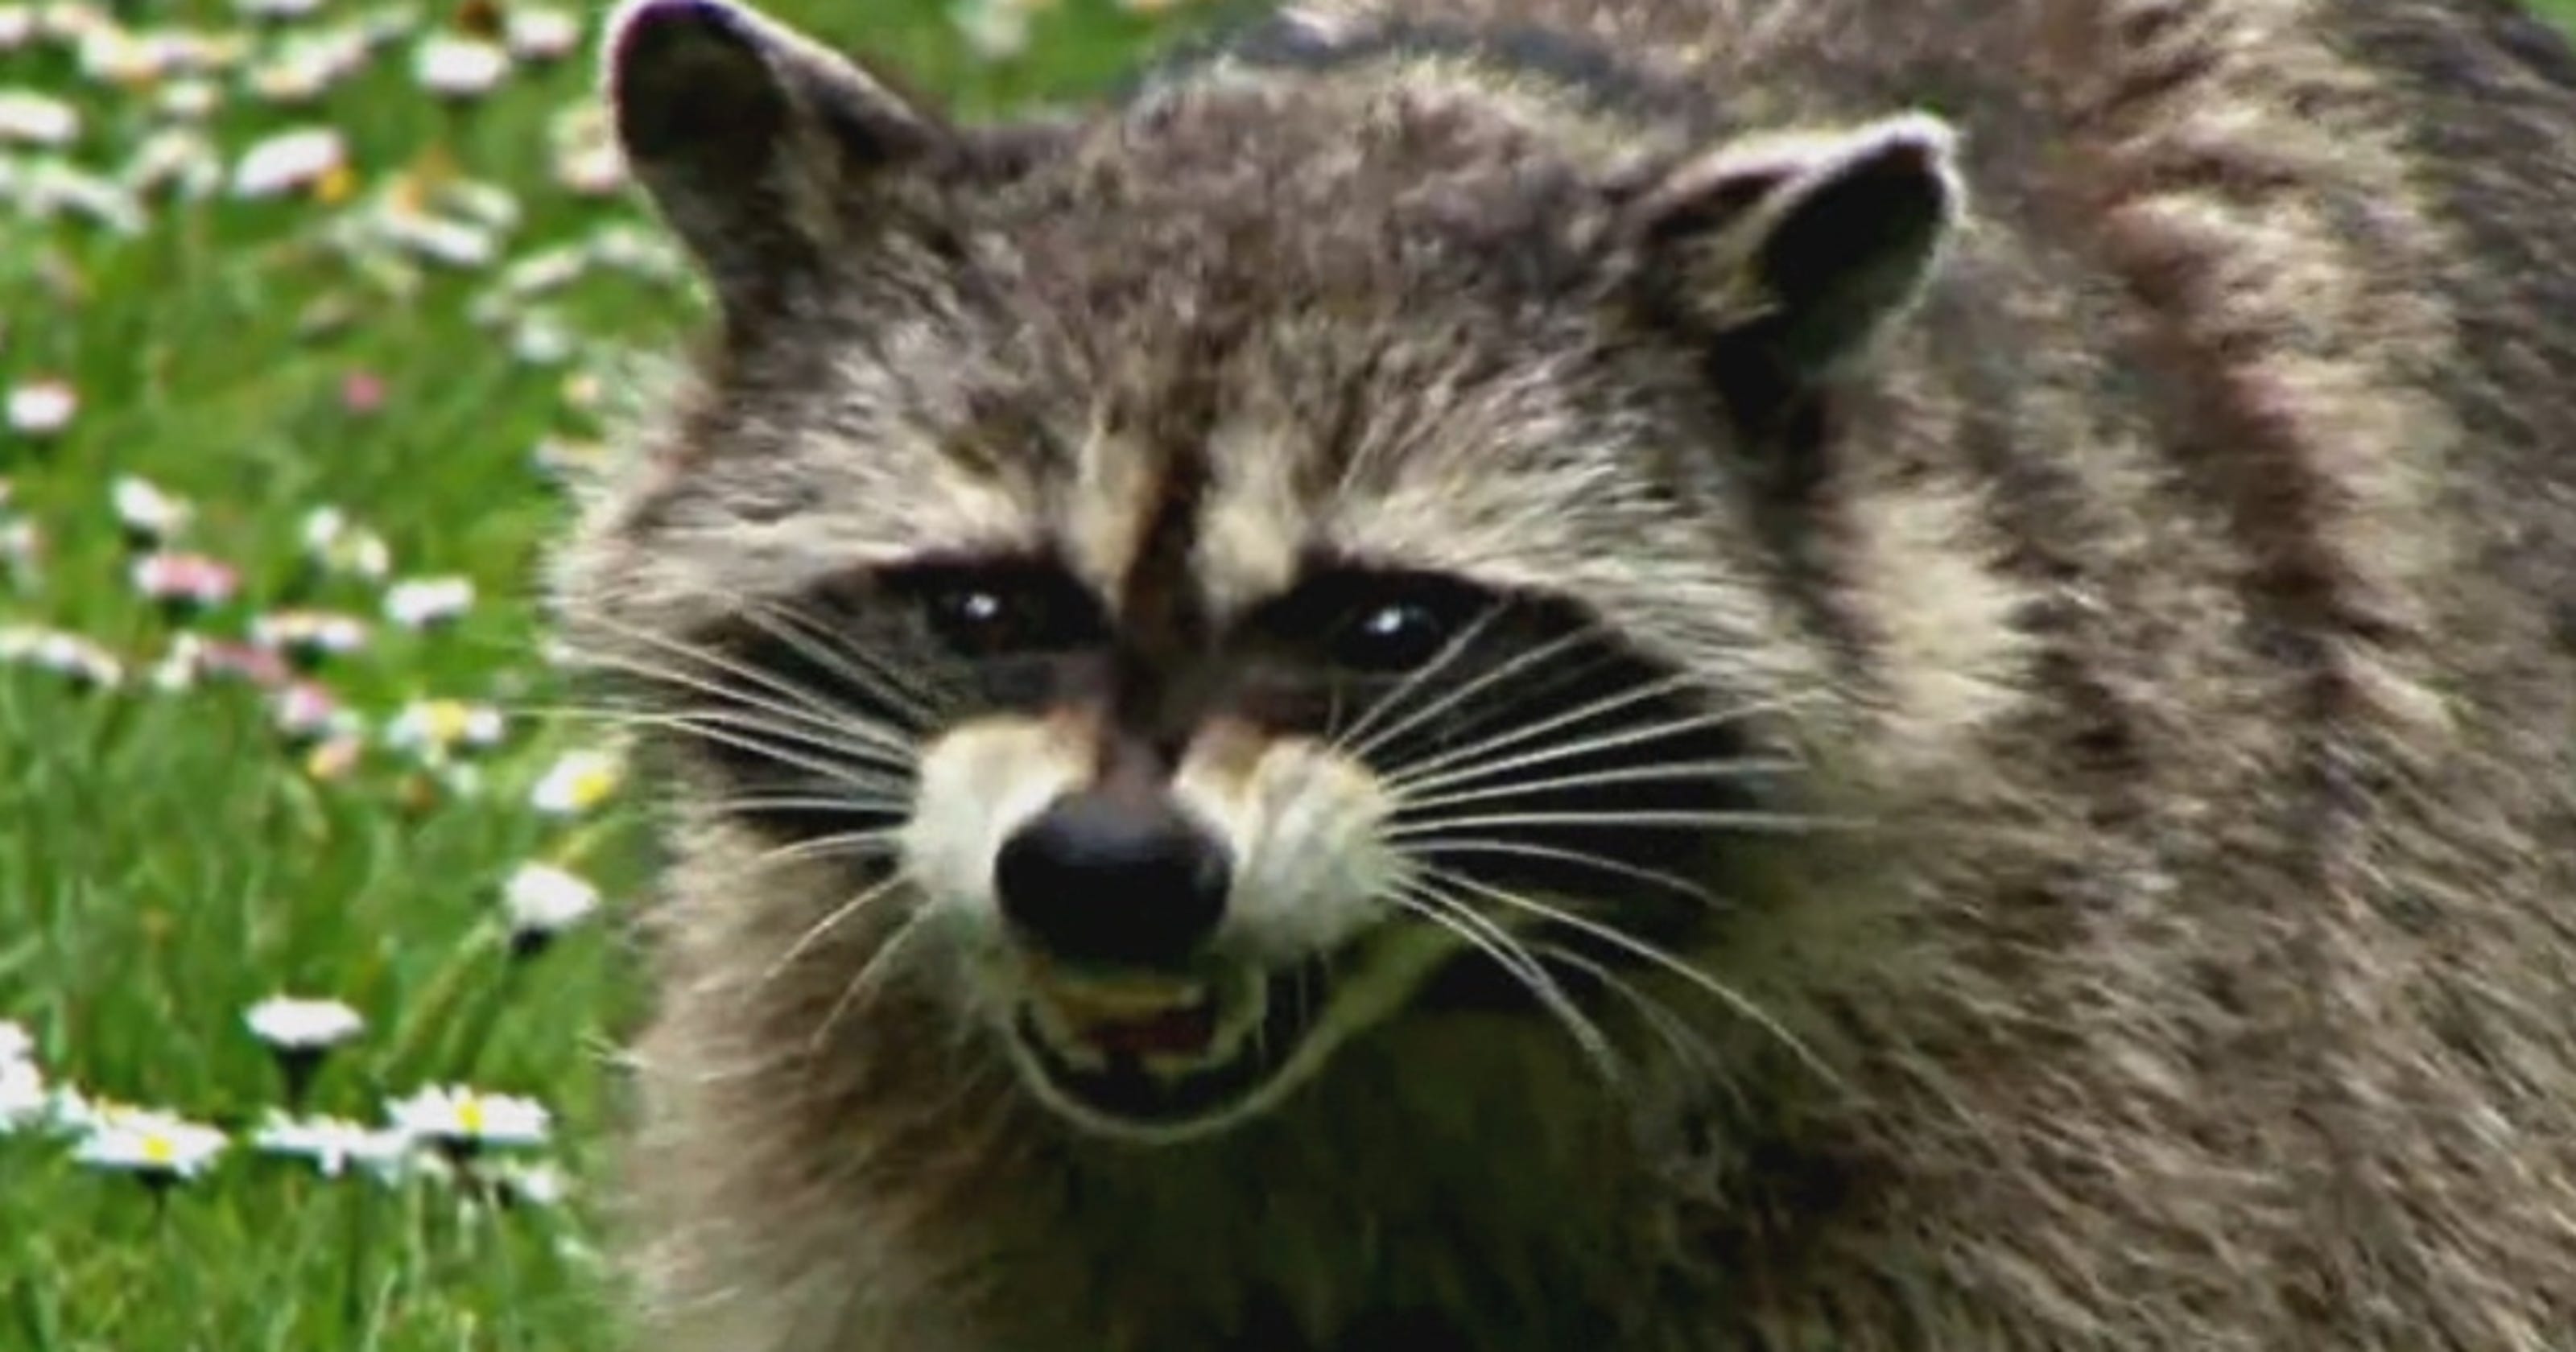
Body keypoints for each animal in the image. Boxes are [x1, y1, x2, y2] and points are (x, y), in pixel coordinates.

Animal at [550, 0, 2576, 1347]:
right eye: (984, 609)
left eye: (1382, 627)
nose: (1106, 878)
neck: (1397, 1042)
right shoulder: (841, 1069)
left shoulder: (2095, 1047)